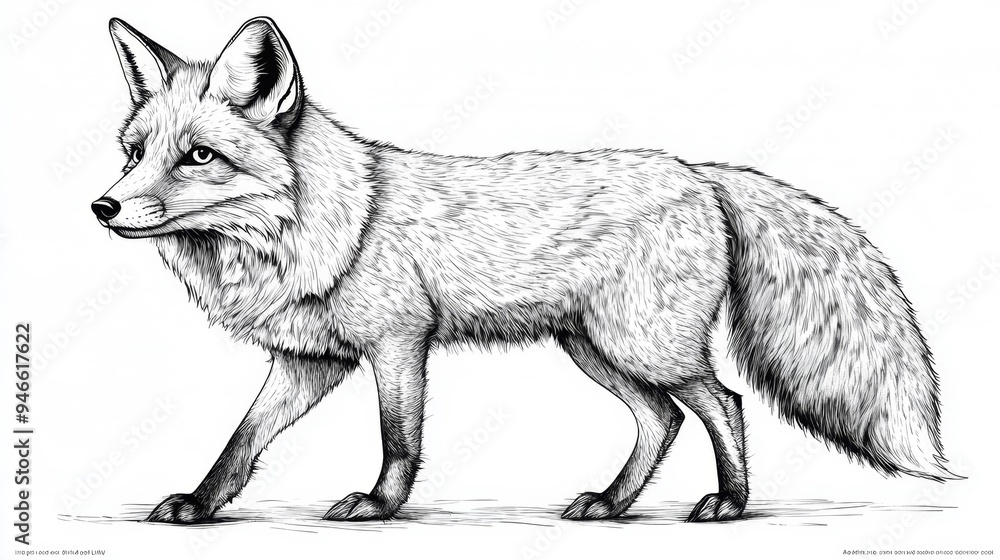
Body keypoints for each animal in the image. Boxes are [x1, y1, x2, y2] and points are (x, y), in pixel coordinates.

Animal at [92, 16, 958, 524]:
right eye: (134, 153)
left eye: (198, 156)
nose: (102, 207)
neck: (327, 227)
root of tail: (700, 173)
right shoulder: (308, 362)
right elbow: (241, 440)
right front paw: (201, 504)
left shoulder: (400, 343)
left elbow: (398, 438)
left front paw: (379, 505)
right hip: (594, 349)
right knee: (663, 419)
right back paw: (612, 503)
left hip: (645, 346)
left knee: (725, 403)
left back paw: (732, 503)